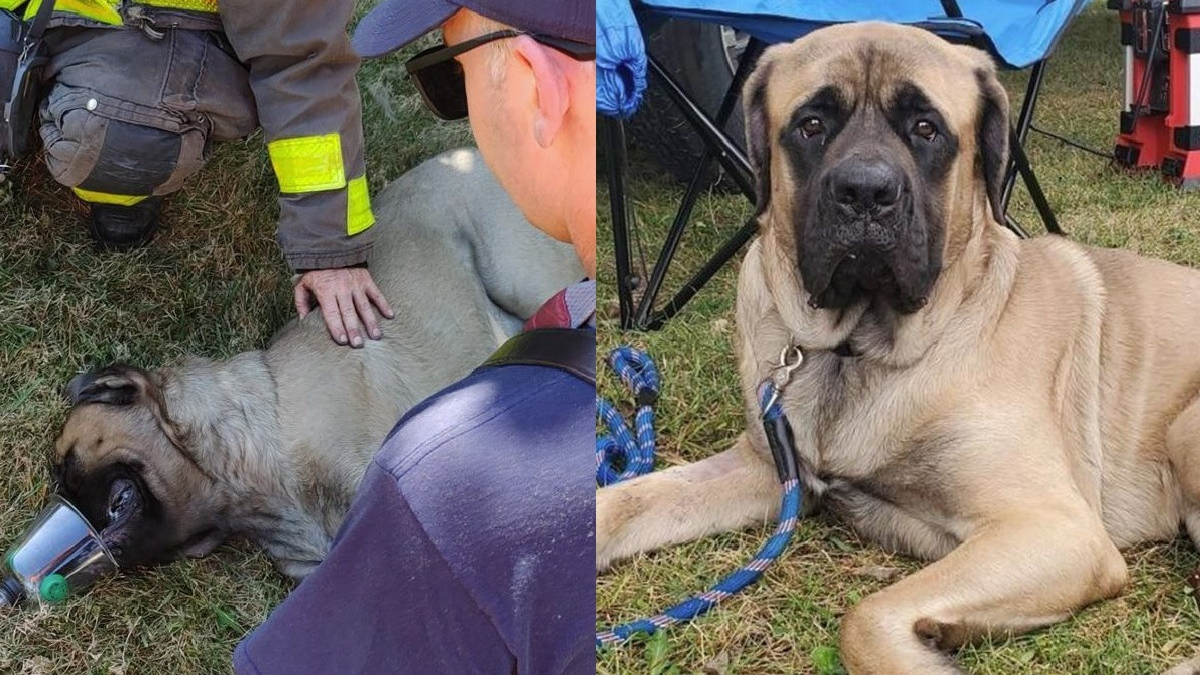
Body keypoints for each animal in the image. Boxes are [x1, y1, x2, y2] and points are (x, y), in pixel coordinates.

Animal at [600, 22, 1200, 672]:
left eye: (926, 128)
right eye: (812, 124)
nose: (865, 191)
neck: (855, 348)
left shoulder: (1054, 527)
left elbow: (865, 616)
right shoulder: (766, 468)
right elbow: (624, 502)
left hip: (1184, 430)